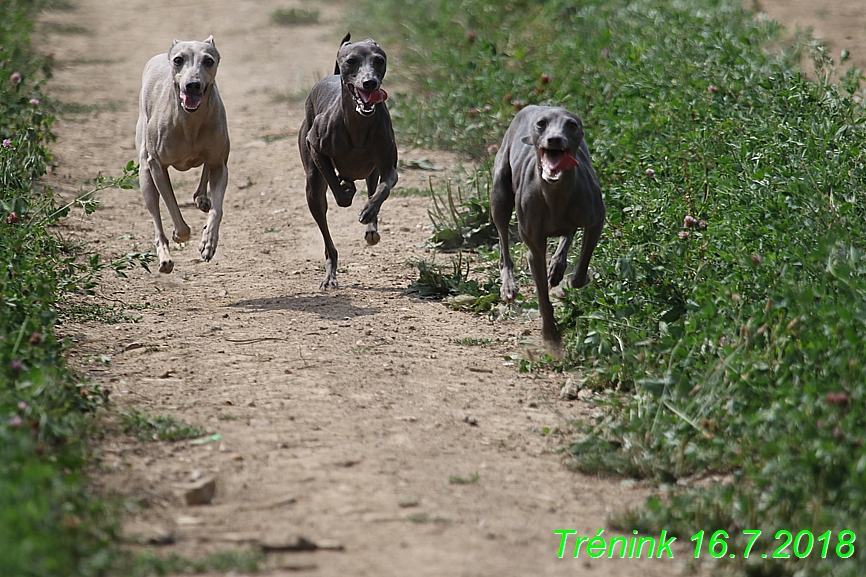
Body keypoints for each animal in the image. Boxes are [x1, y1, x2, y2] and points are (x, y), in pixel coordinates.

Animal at [135, 36, 230, 274]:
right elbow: (172, 208)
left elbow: (218, 209)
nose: (192, 84)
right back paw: (165, 258)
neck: (190, 123)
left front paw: (208, 242)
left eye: (208, 61)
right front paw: (179, 235)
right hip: (144, 172)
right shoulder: (157, 165)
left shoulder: (220, 164)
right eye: (178, 60)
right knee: (156, 218)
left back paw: (201, 197)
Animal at [298, 33, 398, 289]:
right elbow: (339, 193)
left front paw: (368, 210)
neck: (358, 123)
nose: (370, 82)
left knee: (372, 187)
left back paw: (371, 225)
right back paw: (330, 275)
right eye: (351, 61)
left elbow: (384, 188)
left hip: (371, 171)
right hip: (313, 189)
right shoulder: (315, 146)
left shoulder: (388, 166)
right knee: (327, 238)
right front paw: (346, 190)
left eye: (379, 60)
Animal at [491, 105, 606, 356]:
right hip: (499, 195)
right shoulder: (534, 248)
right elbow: (542, 294)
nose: (554, 139)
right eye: (541, 124)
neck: (555, 196)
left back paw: (557, 267)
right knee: (503, 247)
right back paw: (509, 286)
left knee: (568, 234)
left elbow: (580, 270)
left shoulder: (596, 221)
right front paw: (550, 334)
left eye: (571, 124)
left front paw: (573, 277)